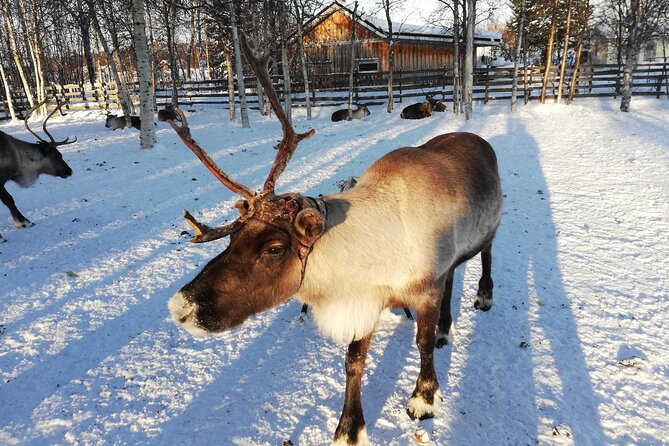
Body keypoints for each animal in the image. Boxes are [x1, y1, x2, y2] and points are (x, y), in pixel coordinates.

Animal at [167, 30, 503, 446]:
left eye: (274, 248)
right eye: (232, 240)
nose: (180, 307)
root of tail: (480, 140)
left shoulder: (423, 289)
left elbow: (421, 345)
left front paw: (424, 400)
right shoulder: (368, 297)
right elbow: (353, 362)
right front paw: (349, 430)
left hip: (492, 224)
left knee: (487, 254)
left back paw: (483, 297)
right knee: (454, 273)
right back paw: (445, 326)